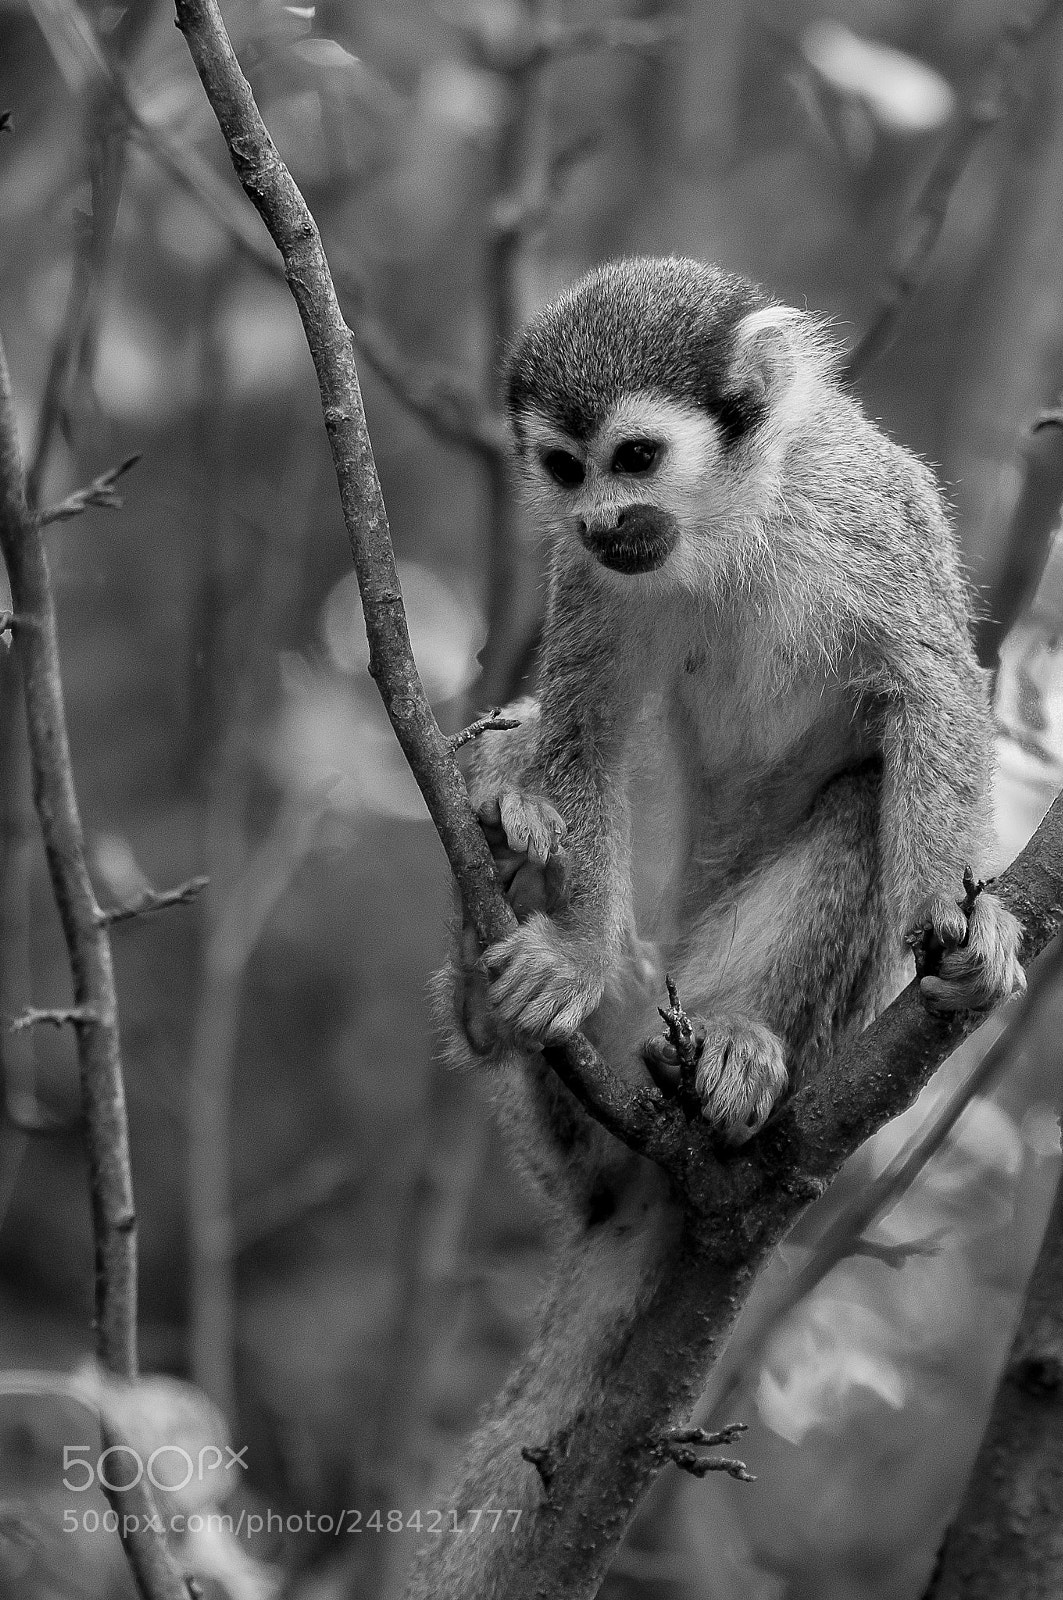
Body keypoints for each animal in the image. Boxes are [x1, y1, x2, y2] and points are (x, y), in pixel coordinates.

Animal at [448, 256, 1025, 1220]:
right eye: (565, 469)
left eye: (635, 458)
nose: (598, 521)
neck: (732, 522)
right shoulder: (586, 577)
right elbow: (582, 729)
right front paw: (571, 951)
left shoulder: (870, 510)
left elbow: (932, 685)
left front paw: (964, 918)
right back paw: (499, 902)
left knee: (863, 794)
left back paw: (737, 1043)